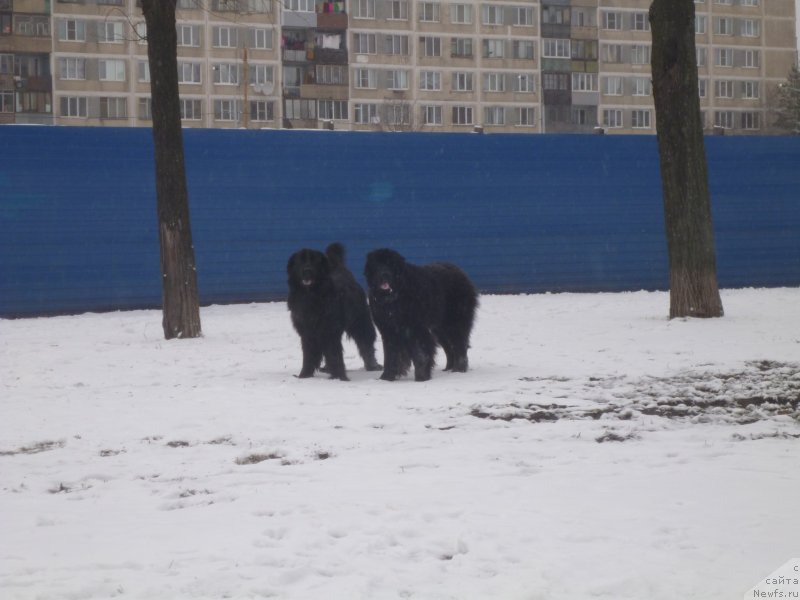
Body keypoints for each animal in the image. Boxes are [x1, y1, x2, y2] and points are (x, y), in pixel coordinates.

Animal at [288, 243, 382, 380]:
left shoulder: (330, 330)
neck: (311, 296)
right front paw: (304, 375)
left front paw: (339, 377)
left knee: (365, 342)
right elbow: (309, 355)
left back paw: (372, 365)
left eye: (314, 261)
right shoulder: (307, 333)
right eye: (301, 261)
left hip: (359, 321)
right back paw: (327, 368)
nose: (307, 270)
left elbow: (334, 354)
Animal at [366, 247, 478, 380]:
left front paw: (422, 377)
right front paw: (386, 378)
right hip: (440, 328)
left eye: (391, 264)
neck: (394, 297)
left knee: (460, 345)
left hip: (455, 322)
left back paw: (459, 370)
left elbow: (421, 353)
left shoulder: (415, 328)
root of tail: (460, 272)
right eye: (377, 265)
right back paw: (449, 368)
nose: (384, 274)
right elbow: (391, 355)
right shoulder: (389, 330)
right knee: (449, 347)